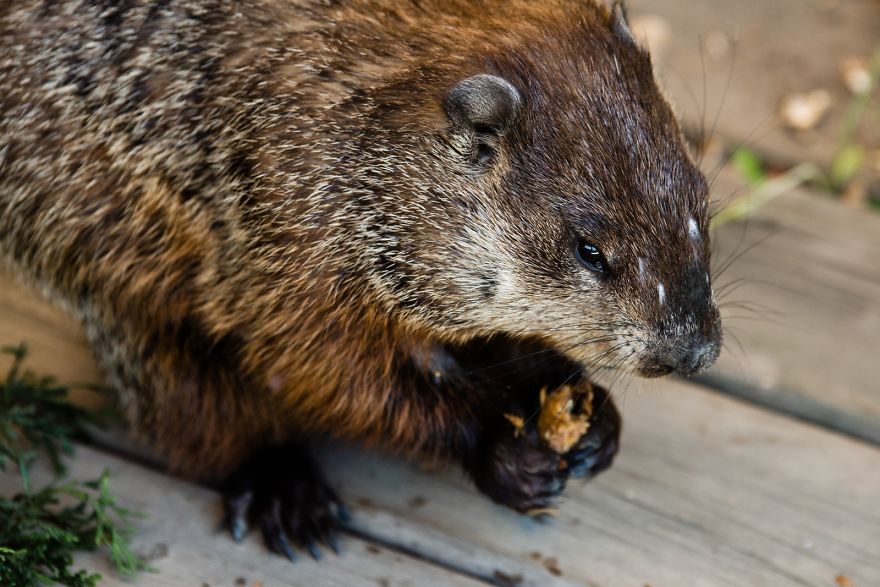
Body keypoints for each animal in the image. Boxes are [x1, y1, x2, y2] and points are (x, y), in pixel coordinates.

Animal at [0, 0, 721, 560]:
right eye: (590, 249)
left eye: (701, 198)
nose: (697, 349)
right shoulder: (285, 217)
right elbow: (321, 360)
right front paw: (495, 444)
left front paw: (580, 406)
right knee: (178, 381)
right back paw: (281, 483)